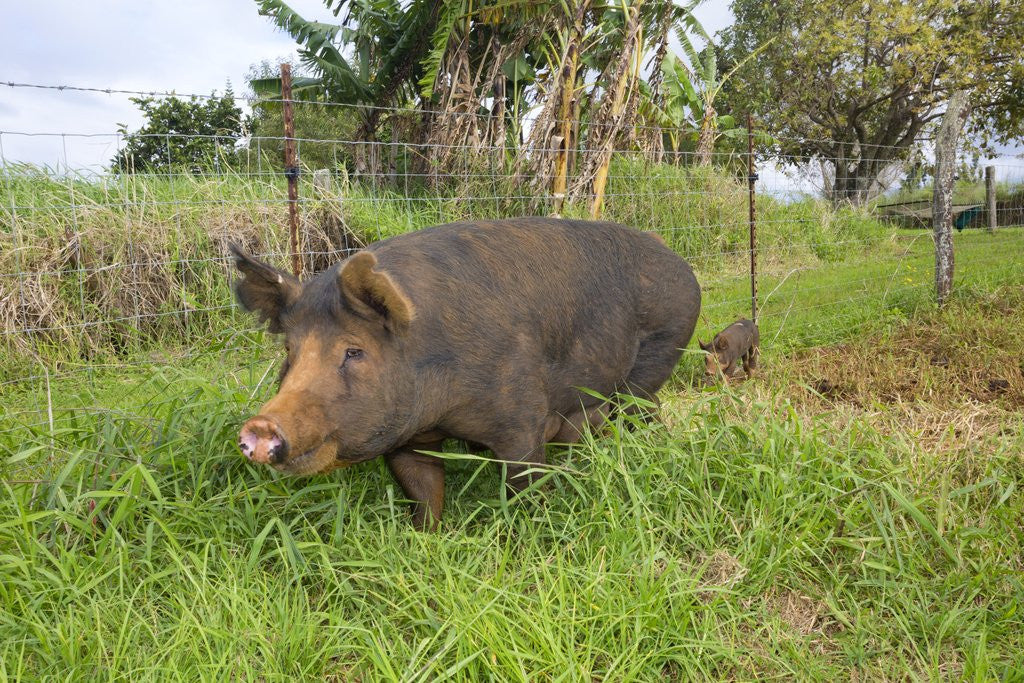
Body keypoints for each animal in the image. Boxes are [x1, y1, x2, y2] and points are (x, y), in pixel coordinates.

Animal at [231, 217, 701, 529]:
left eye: (353, 351)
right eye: (289, 352)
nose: (261, 426)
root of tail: (676, 258)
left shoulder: (522, 420)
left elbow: (526, 484)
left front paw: (530, 534)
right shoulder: (408, 440)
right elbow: (423, 491)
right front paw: (425, 538)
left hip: (661, 349)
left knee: (640, 410)